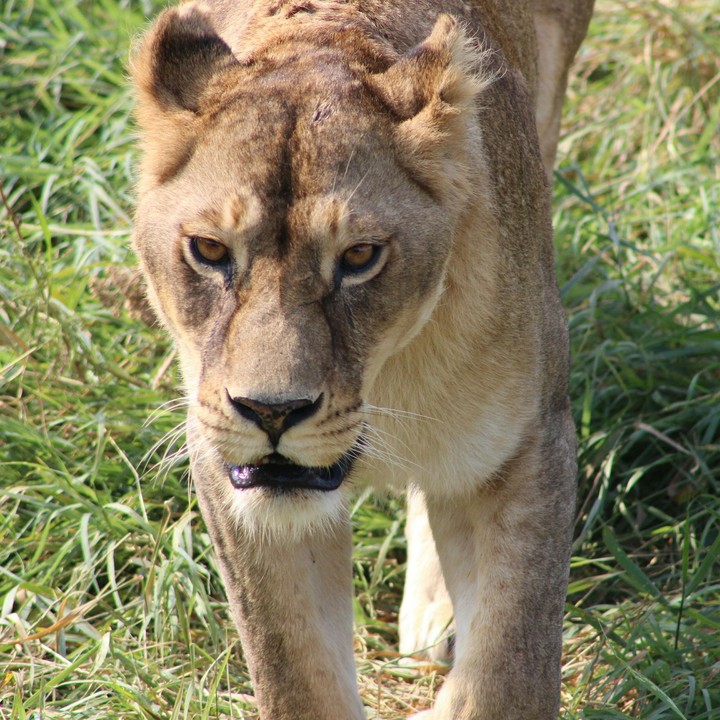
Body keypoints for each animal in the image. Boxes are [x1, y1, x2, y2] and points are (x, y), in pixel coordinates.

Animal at [130, 1, 593, 718]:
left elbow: (511, 667)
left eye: (358, 257)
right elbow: (294, 672)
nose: (272, 411)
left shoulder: (528, 441)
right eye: (208, 250)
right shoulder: (231, 474)